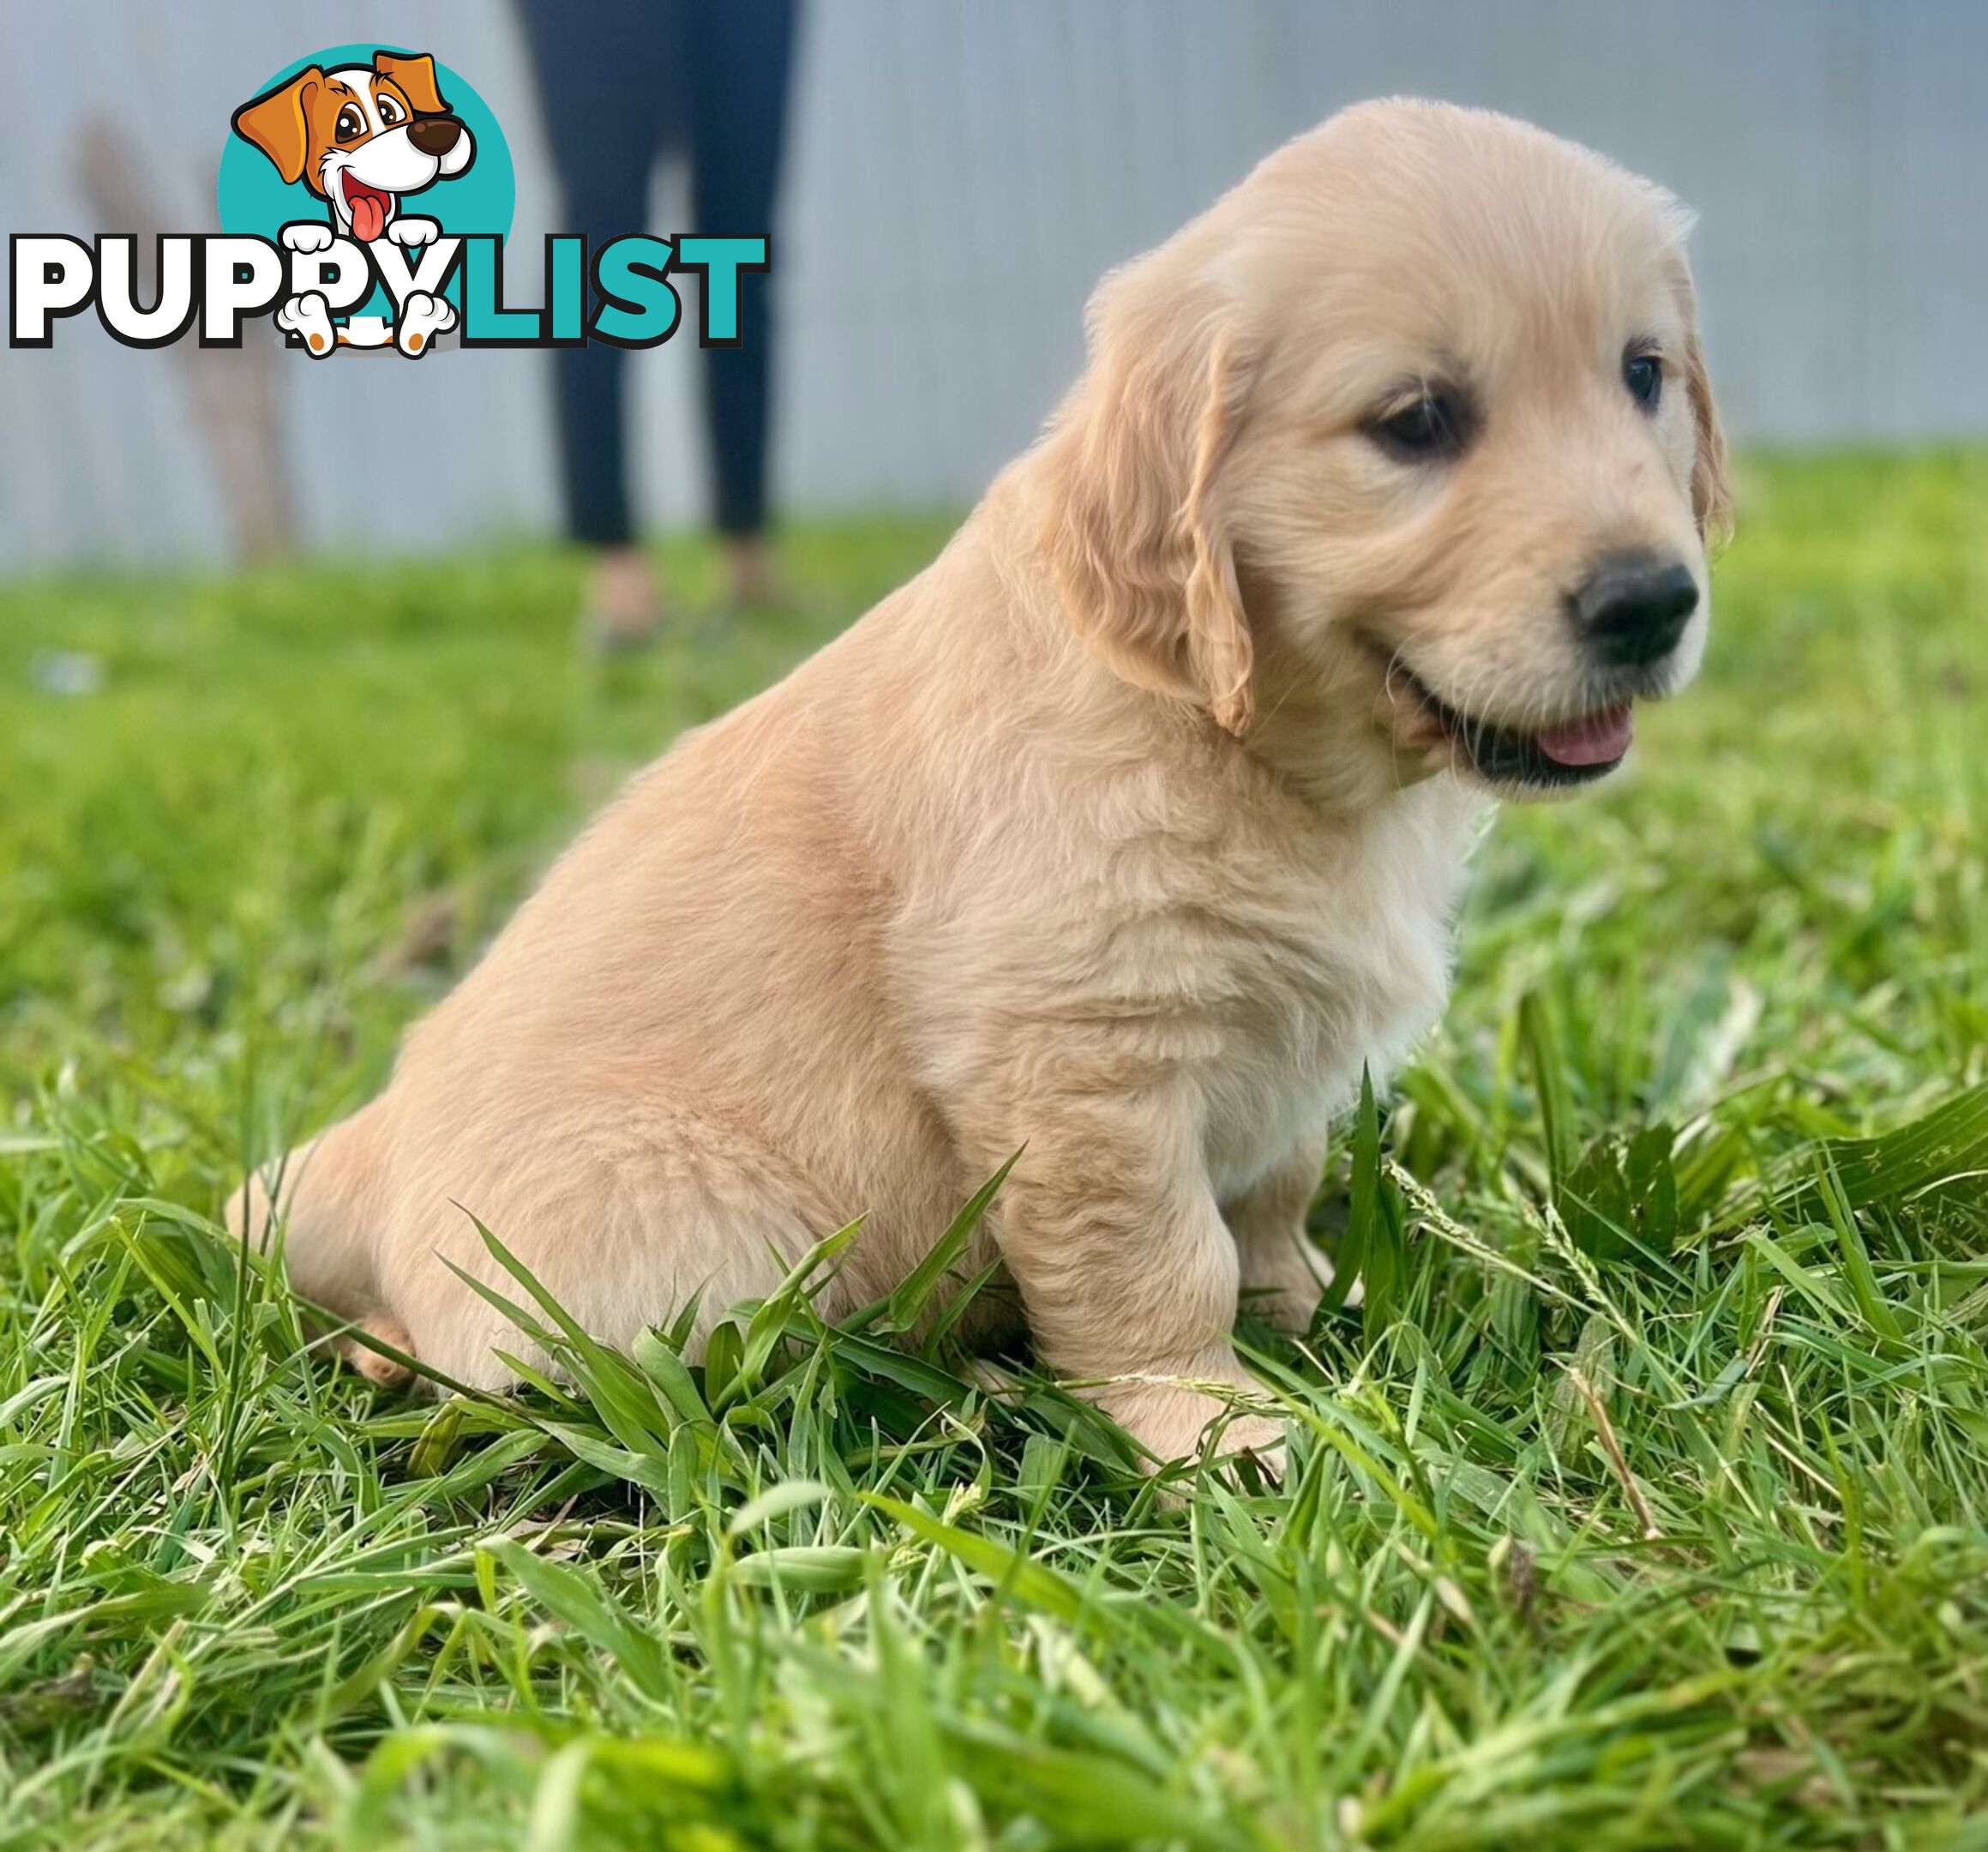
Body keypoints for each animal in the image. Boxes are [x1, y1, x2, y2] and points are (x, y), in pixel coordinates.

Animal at [236, 98, 1725, 1464]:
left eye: (1640, 373)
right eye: (1413, 422)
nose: (1653, 602)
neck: (1229, 724)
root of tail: (359, 1145)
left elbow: (1269, 1193)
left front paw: (1308, 1305)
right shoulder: (1079, 1060)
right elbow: (1153, 1260)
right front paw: (1210, 1424)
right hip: (710, 1240)